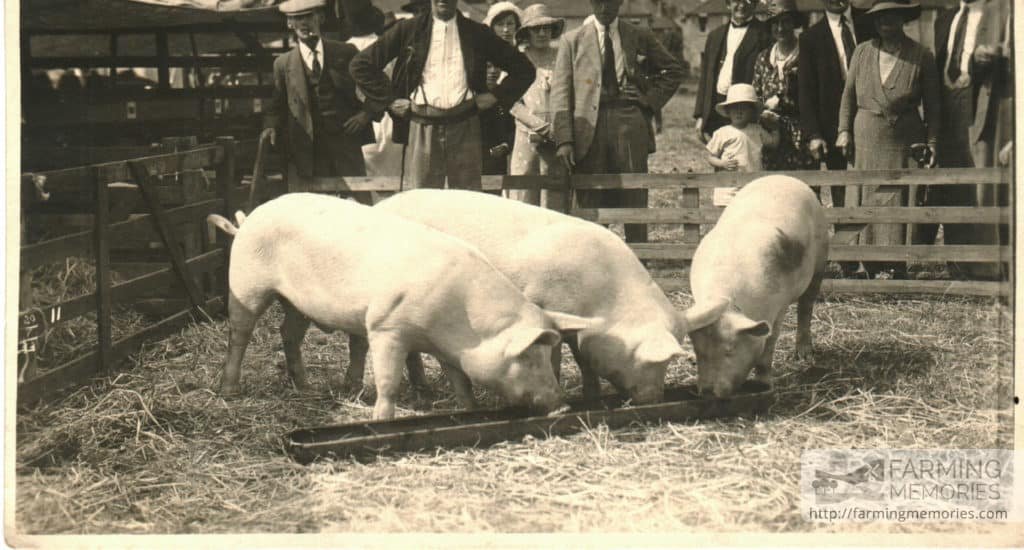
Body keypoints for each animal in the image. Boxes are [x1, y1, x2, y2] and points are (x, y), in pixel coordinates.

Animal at [206, 195, 593, 417]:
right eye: (527, 357)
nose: (562, 406)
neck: (459, 324)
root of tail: (247, 219)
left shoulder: (446, 346)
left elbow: (461, 381)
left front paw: (470, 409)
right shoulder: (385, 327)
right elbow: (389, 381)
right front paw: (381, 419)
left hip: (296, 303)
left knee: (289, 333)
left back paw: (308, 388)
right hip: (246, 282)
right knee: (240, 333)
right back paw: (230, 390)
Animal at [372, 188, 724, 403]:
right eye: (655, 360)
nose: (654, 398)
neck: (602, 300)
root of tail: (380, 205)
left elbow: (584, 361)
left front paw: (591, 396)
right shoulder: (545, 305)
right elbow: (555, 355)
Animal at [684, 175, 827, 395]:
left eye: (729, 351)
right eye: (699, 351)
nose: (707, 392)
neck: (728, 301)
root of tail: (785, 177)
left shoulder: (779, 304)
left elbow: (770, 340)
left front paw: (764, 384)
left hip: (820, 260)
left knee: (806, 307)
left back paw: (804, 355)